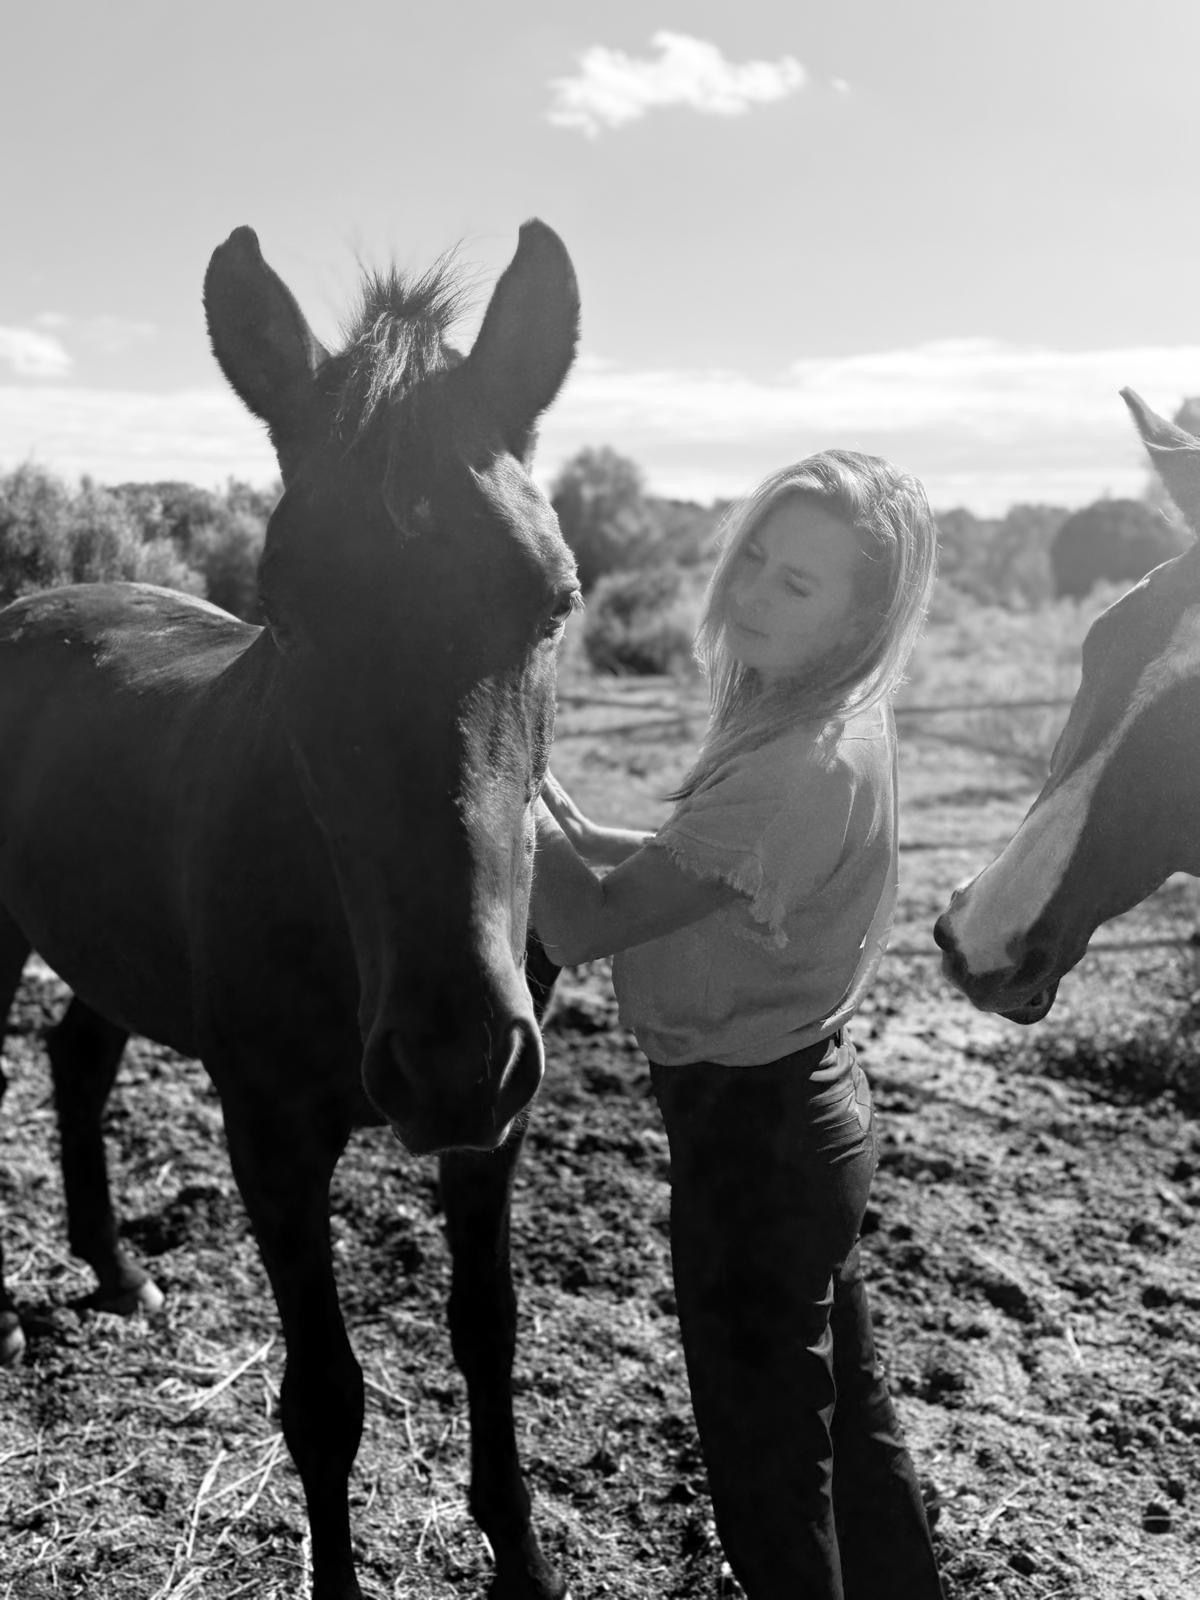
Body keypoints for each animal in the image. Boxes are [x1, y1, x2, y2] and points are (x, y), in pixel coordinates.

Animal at [0, 222, 581, 1600]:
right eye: (288, 605)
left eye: (555, 600)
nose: (447, 1055)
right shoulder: (269, 1130)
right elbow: (325, 1397)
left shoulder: (499, 1129)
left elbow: (489, 1337)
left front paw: (524, 1563)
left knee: (76, 1061)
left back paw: (119, 1272)